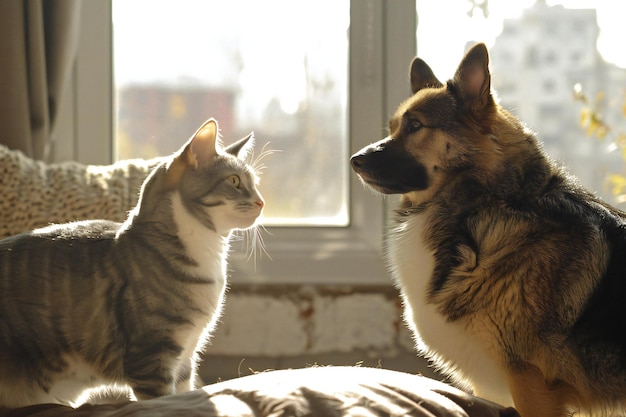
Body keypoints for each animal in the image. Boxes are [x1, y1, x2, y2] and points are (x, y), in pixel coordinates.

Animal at [0, 118, 262, 406]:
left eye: (255, 183)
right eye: (235, 181)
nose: (261, 202)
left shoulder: (185, 358)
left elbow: (185, 394)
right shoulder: (151, 359)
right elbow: (164, 401)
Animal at [348, 43, 624, 416]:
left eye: (415, 125)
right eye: (393, 127)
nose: (354, 161)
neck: (488, 203)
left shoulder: (531, 386)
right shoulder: (493, 389)